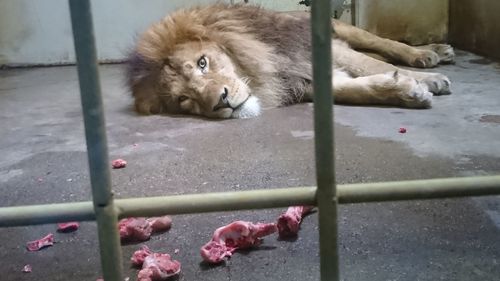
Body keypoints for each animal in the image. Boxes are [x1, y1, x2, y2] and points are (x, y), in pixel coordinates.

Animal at [127, 3, 456, 118]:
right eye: (183, 99)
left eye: (202, 63)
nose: (221, 102)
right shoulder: (301, 80)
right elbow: (357, 87)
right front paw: (406, 91)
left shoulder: (312, 51)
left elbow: (375, 66)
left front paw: (427, 82)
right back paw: (439, 51)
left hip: (340, 30)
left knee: (381, 45)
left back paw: (428, 54)